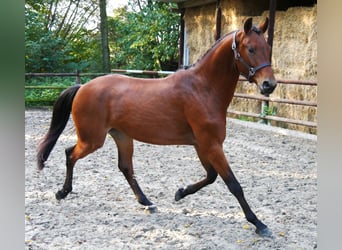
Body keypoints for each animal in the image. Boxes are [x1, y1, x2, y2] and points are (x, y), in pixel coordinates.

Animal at [37, 17, 276, 236]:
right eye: (251, 48)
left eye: (268, 49)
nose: (269, 85)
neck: (202, 89)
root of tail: (83, 87)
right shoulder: (211, 145)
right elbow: (232, 184)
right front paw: (259, 223)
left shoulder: (202, 145)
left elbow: (211, 176)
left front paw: (180, 192)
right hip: (92, 140)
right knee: (70, 154)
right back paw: (62, 192)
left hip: (122, 137)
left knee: (125, 167)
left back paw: (147, 202)